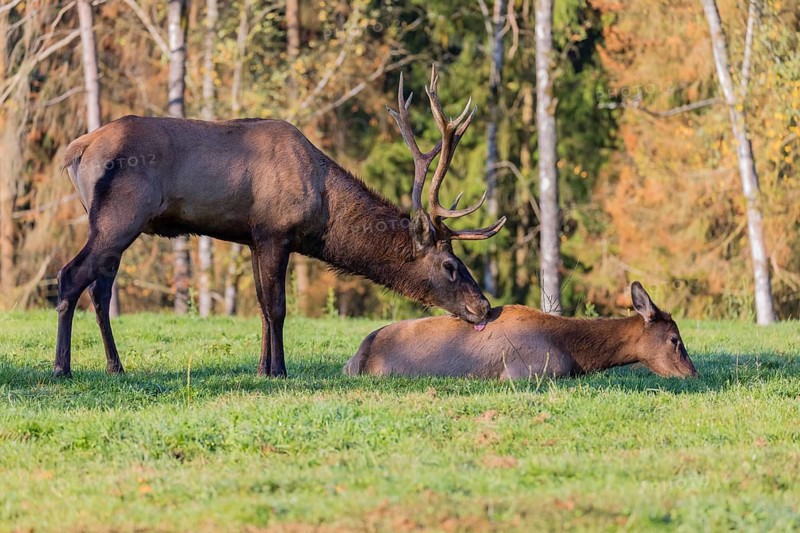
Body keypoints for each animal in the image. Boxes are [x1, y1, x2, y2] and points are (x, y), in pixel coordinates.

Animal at [55, 65, 506, 378]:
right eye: (450, 265)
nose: (483, 307)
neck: (323, 208)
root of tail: (76, 150)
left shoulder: (253, 238)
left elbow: (259, 304)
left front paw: (260, 368)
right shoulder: (276, 233)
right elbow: (277, 307)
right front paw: (279, 370)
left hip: (111, 222)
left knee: (99, 289)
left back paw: (115, 366)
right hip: (120, 215)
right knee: (70, 275)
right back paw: (62, 367)